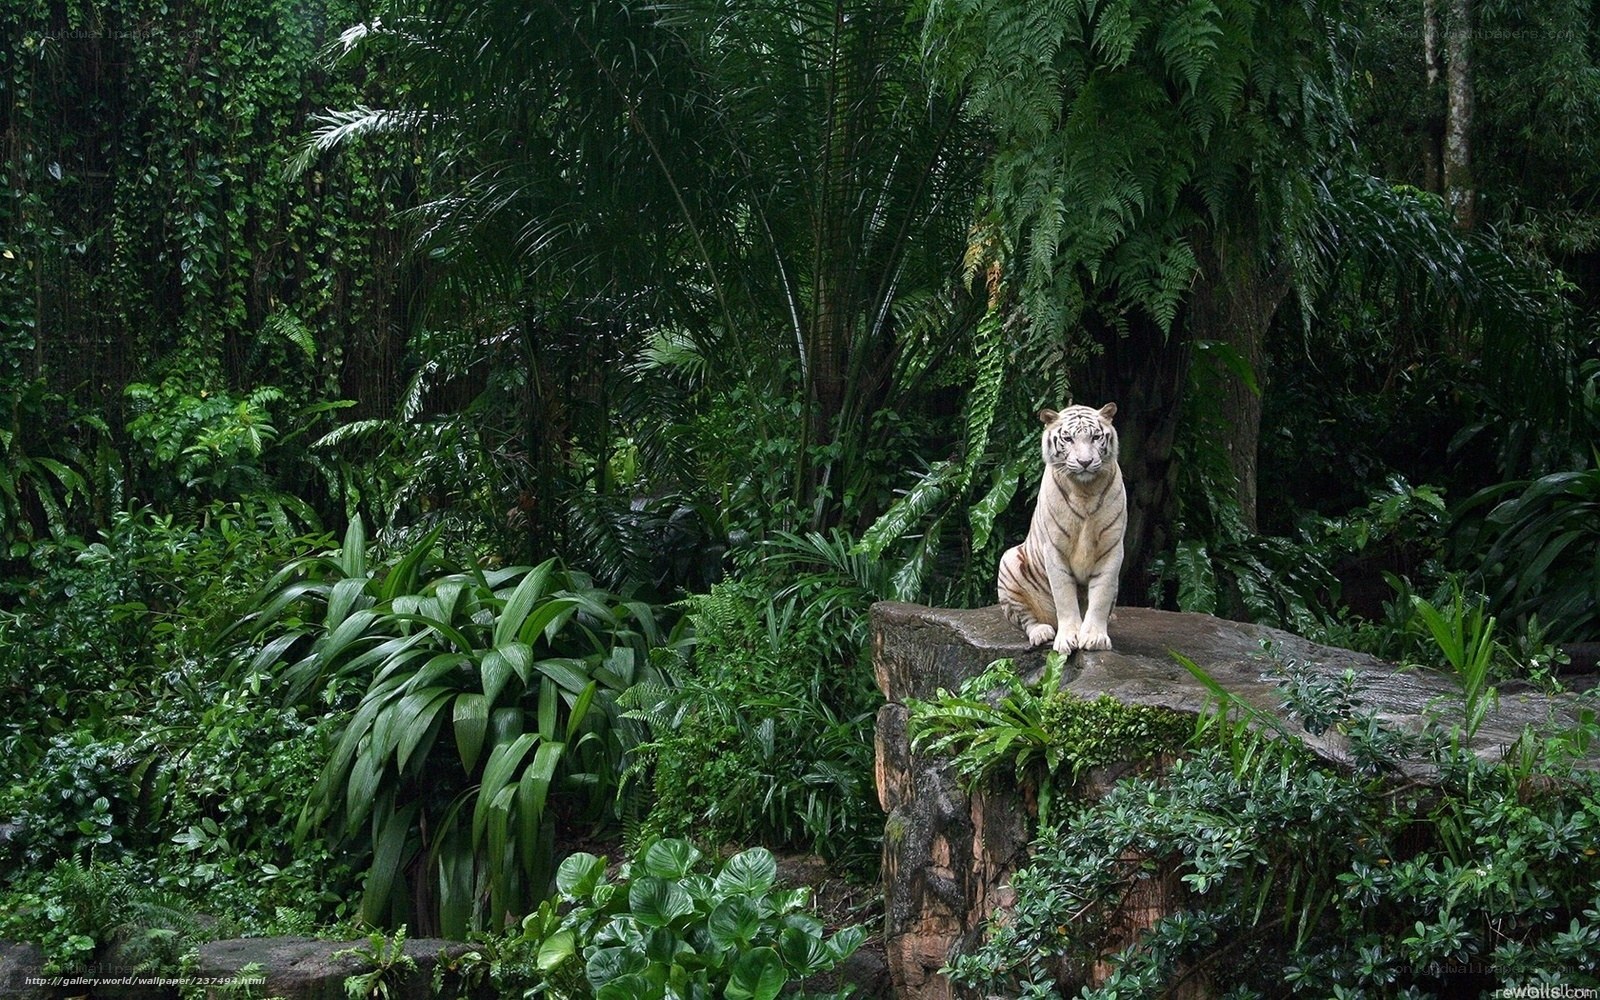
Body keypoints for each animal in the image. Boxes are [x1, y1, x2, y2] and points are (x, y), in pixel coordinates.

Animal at [996, 403, 1127, 653]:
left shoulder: (1112, 548)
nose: (1085, 462)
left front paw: (1095, 638)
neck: (1085, 490)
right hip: (1009, 562)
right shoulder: (1054, 549)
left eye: (1096, 437)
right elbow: (1064, 596)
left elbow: (1101, 595)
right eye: (1068, 438)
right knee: (1025, 619)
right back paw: (1041, 632)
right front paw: (1068, 638)